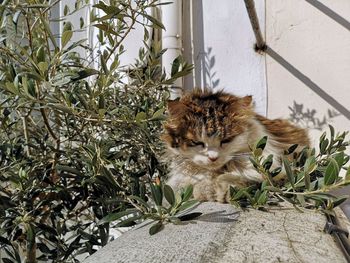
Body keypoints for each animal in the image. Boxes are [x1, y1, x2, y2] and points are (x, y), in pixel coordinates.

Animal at [161, 89, 308, 203]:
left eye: (226, 140)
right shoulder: (179, 179)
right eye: (197, 142)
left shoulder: (273, 173)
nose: (213, 158)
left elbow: (236, 178)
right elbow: (186, 185)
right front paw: (205, 191)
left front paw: (218, 193)